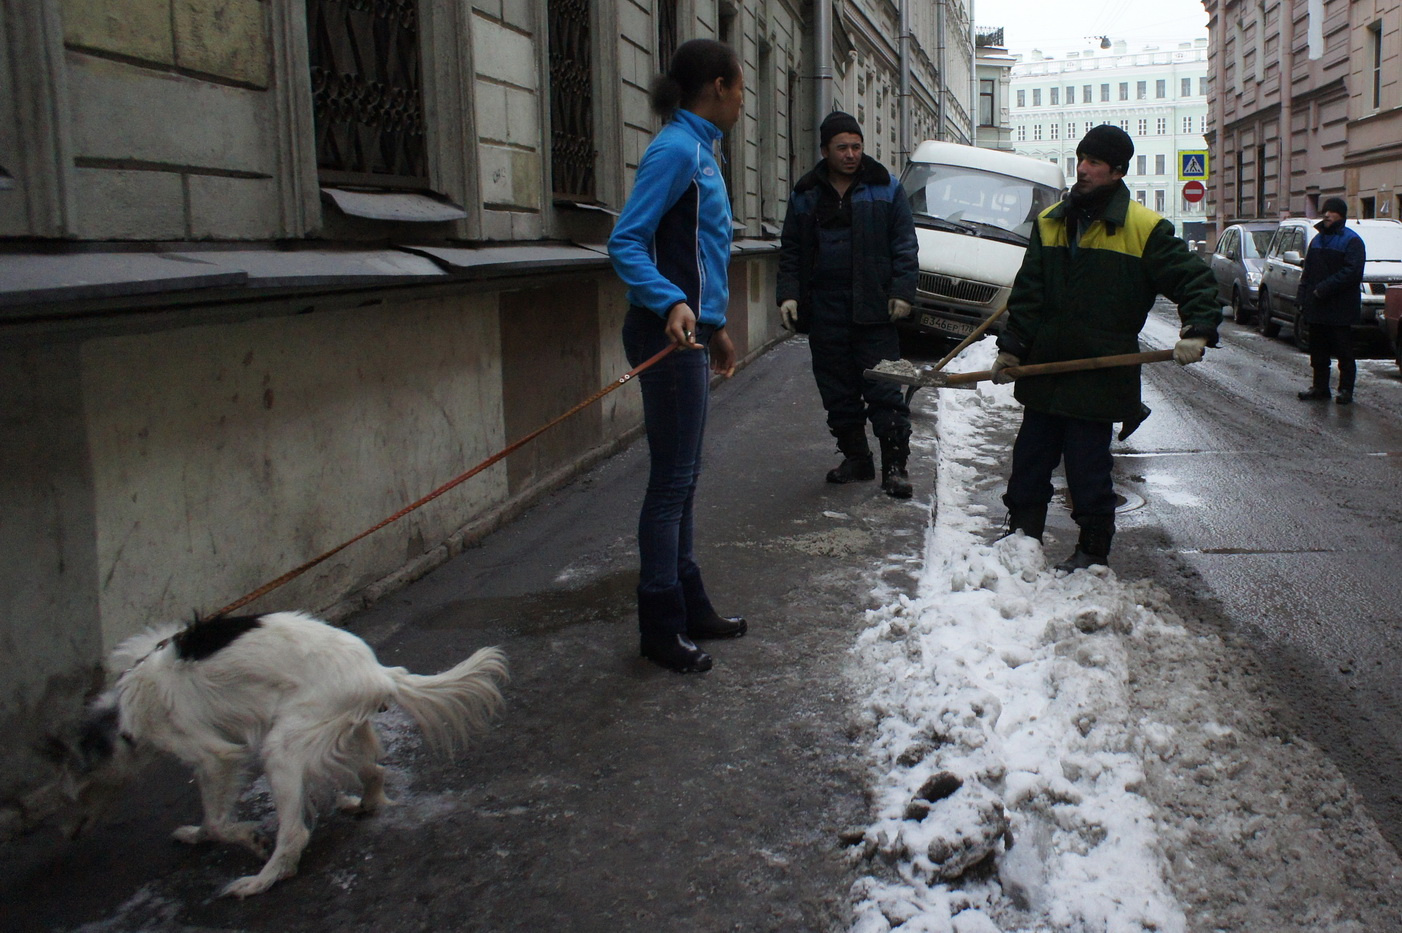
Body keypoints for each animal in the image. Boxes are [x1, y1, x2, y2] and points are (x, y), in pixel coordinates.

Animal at [41, 611, 507, 897]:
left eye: (71, 794)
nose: (66, 834)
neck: (120, 713)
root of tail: (377, 672)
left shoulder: (213, 756)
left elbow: (217, 820)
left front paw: (248, 838)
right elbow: (208, 823)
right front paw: (194, 835)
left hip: (282, 747)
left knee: (296, 832)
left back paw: (262, 879)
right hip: (336, 730)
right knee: (375, 772)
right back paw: (364, 805)